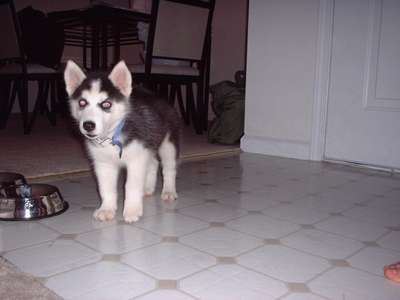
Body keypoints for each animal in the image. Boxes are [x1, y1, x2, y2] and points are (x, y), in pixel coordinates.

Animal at [63, 60, 180, 223]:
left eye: (106, 104)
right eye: (82, 102)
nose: (88, 125)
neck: (111, 136)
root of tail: (158, 98)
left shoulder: (136, 160)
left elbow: (131, 186)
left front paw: (131, 210)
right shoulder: (103, 164)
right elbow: (105, 188)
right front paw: (106, 209)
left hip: (167, 144)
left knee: (169, 167)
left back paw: (168, 191)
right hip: (148, 144)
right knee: (153, 163)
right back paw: (147, 188)